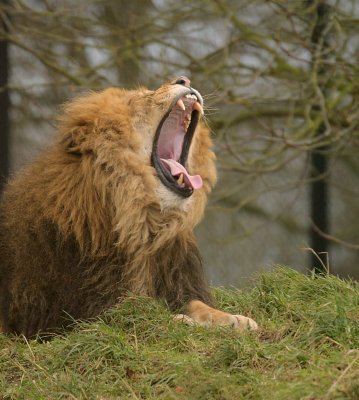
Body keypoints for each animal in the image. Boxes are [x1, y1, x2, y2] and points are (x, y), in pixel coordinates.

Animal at [0, 76, 258, 338]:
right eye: (143, 98)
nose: (184, 79)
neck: (142, 227)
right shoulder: (82, 313)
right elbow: (147, 316)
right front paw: (184, 322)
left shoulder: (176, 283)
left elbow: (197, 304)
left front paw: (235, 319)